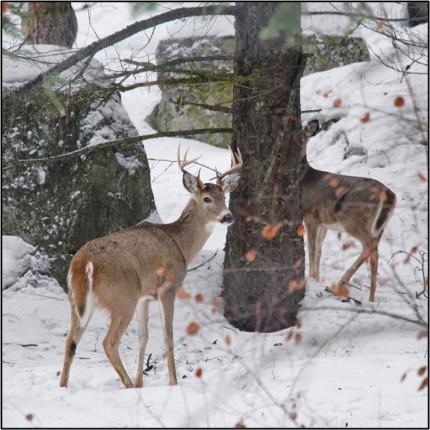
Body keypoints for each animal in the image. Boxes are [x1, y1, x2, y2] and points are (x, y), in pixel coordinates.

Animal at [60, 145, 242, 390]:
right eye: (206, 198)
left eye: (224, 196)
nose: (227, 216)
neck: (180, 244)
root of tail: (83, 262)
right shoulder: (167, 288)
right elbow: (168, 336)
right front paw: (172, 382)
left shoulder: (143, 297)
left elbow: (143, 337)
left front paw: (140, 383)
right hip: (122, 297)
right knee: (109, 342)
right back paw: (127, 385)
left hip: (79, 300)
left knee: (70, 340)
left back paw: (63, 386)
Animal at [302, 120, 396, 302]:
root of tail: (388, 194)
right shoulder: (324, 222)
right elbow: (318, 250)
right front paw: (316, 279)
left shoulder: (311, 214)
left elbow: (311, 248)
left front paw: (312, 279)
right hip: (380, 226)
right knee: (375, 251)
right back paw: (371, 298)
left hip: (351, 217)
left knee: (369, 246)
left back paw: (339, 285)